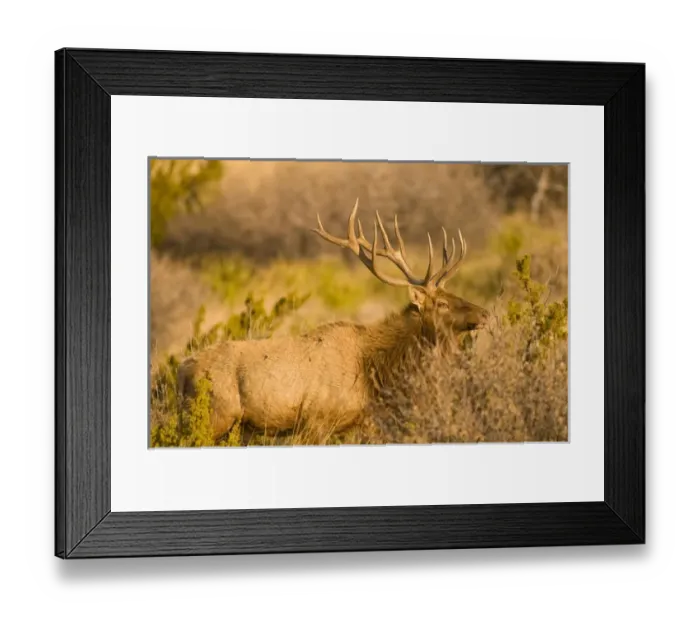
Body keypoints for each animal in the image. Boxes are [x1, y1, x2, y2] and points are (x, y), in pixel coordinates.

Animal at [177, 199, 490, 442]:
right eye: (442, 303)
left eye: (455, 293)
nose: (485, 313)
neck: (374, 371)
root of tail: (181, 372)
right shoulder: (316, 421)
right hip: (213, 416)